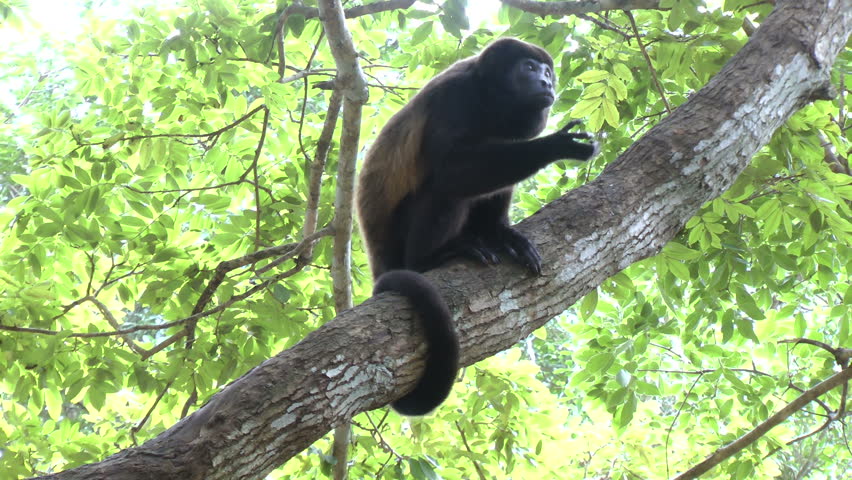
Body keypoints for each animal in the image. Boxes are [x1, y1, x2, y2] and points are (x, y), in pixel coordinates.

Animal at [356, 37, 599, 415]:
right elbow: (450, 168)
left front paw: (503, 234)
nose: (547, 82)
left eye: (547, 71)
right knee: (443, 186)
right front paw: (558, 144)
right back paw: (435, 256)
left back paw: (496, 236)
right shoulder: (456, 97)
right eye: (530, 68)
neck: (490, 98)